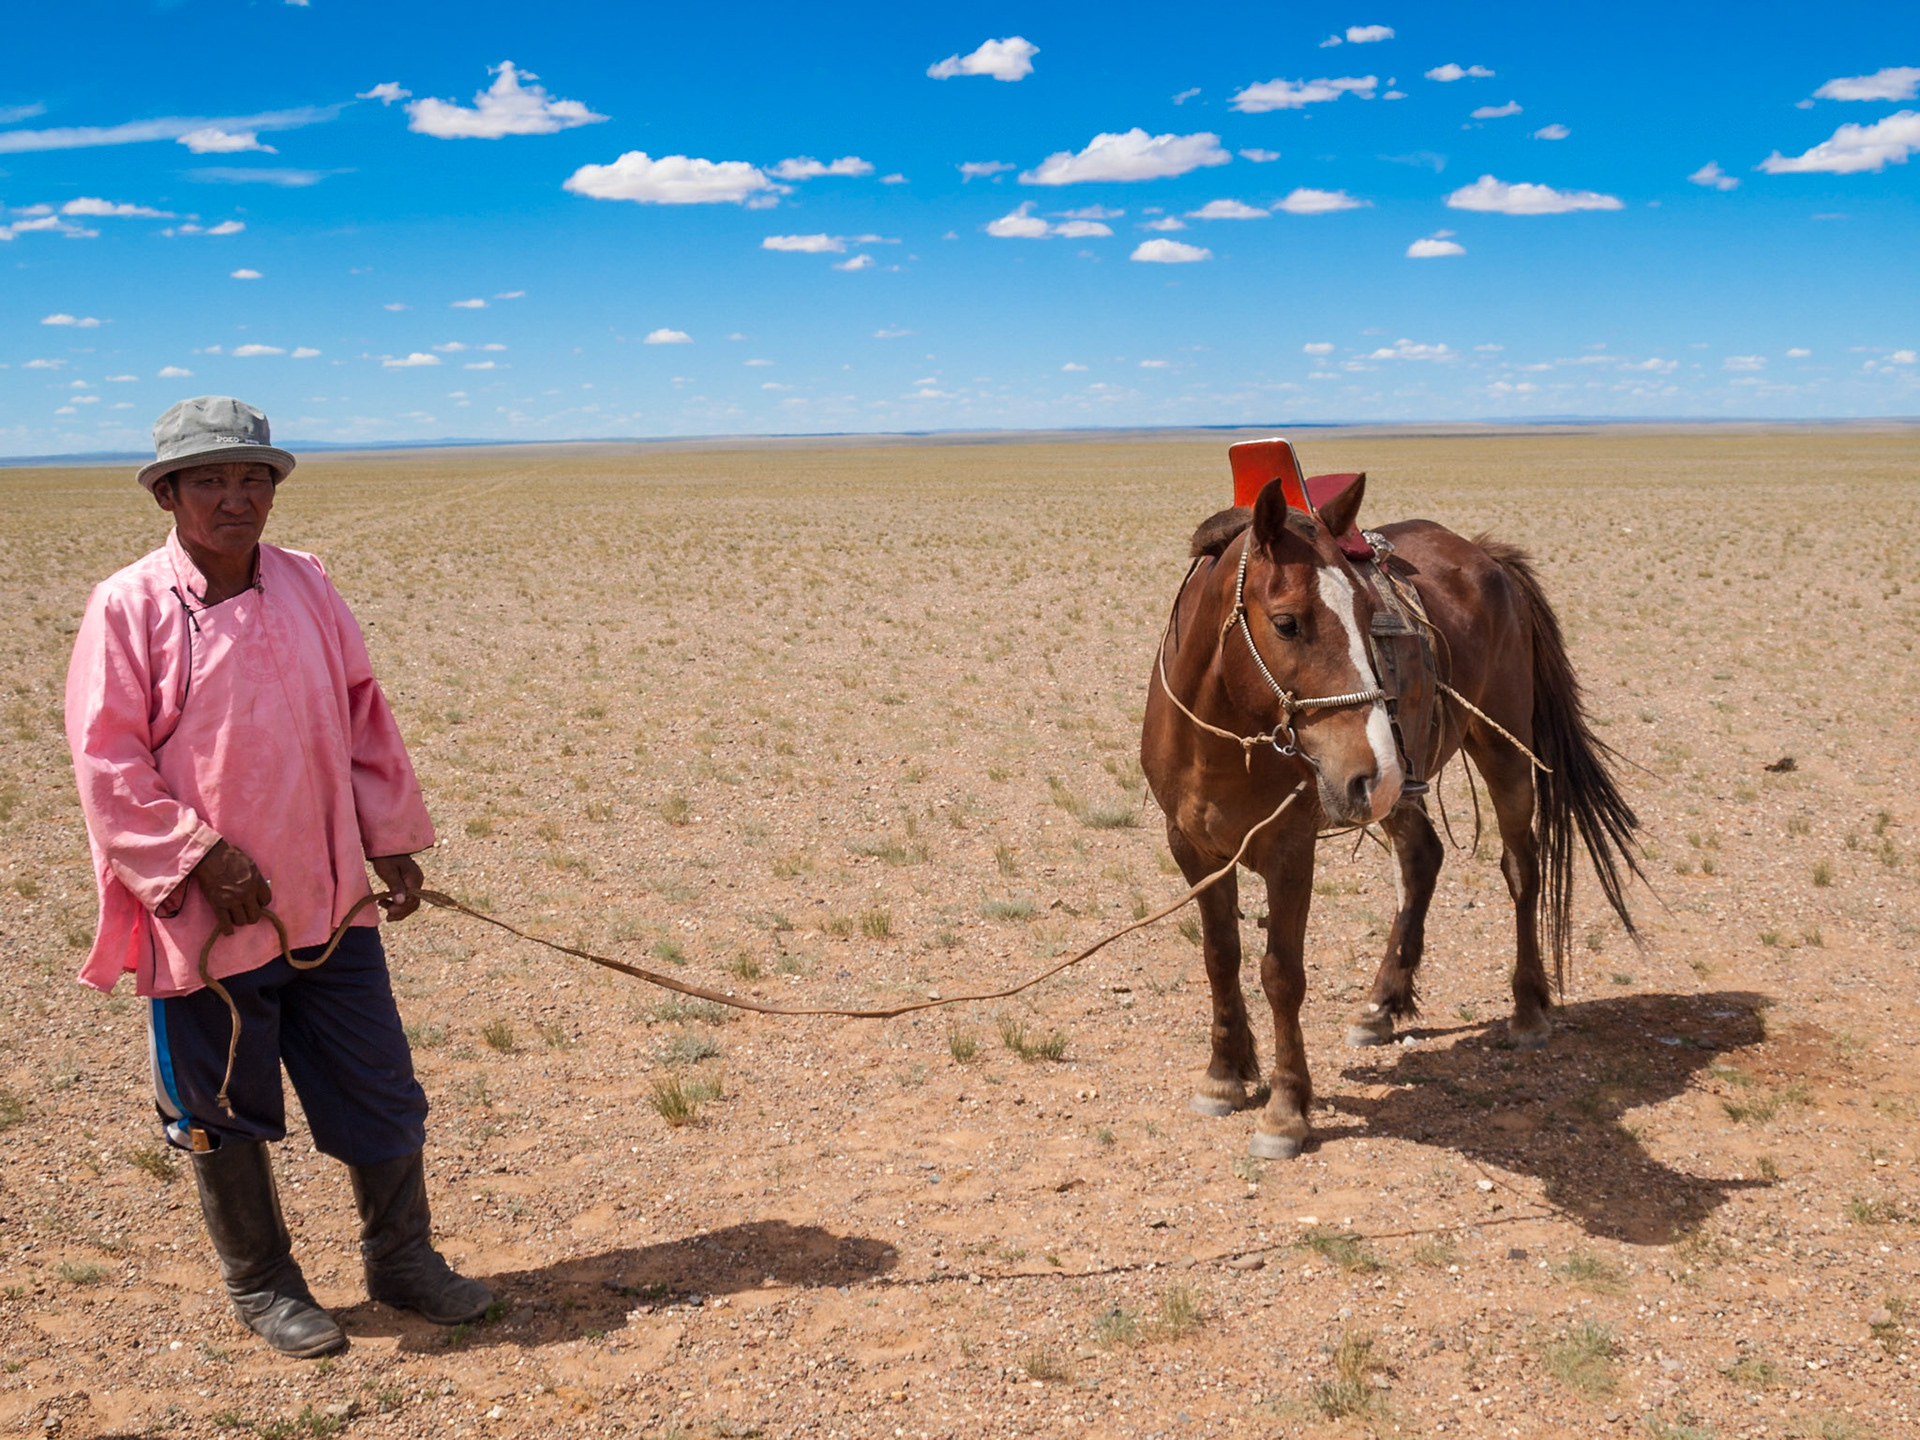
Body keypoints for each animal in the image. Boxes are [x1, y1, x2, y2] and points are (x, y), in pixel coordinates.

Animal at [1139, 471, 1642, 1158]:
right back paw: (1382, 1004)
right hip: (1399, 793)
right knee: (1423, 855)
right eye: (1287, 623)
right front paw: (1223, 1074)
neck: (1222, 739)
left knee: (1522, 867)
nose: (1373, 767)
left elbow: (1281, 973)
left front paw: (1285, 1110)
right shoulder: (1192, 847)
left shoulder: (1290, 850)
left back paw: (1528, 1011)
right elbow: (1221, 957)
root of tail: (1486, 556)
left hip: (1499, 750)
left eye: (1365, 615)